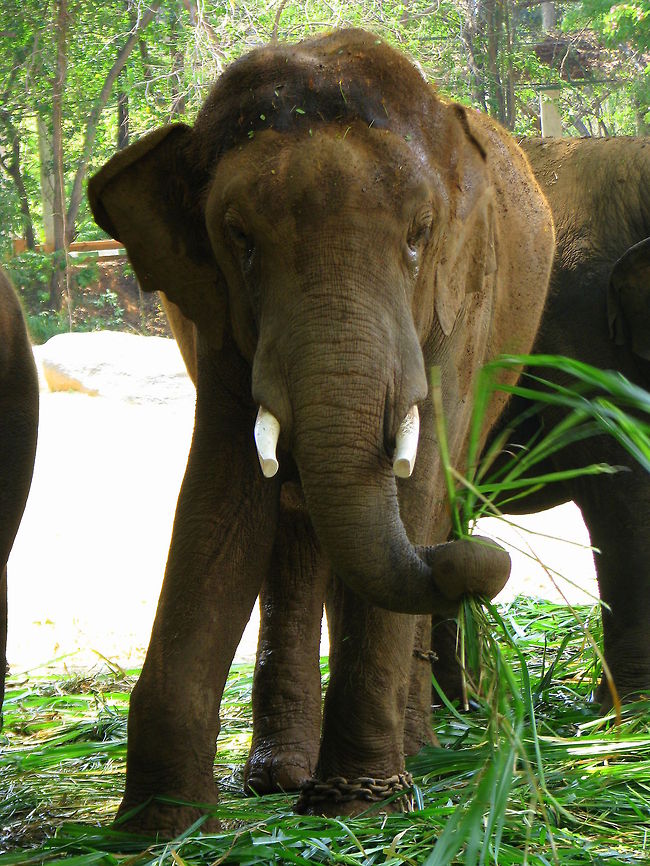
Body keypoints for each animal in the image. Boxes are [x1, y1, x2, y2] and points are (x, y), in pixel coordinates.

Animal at [88, 28, 554, 834]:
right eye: (239, 238)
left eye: (420, 235)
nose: (485, 562)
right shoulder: (216, 318)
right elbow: (223, 502)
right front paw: (156, 829)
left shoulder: (460, 306)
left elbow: (413, 488)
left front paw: (360, 804)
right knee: (299, 530)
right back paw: (280, 777)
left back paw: (413, 751)